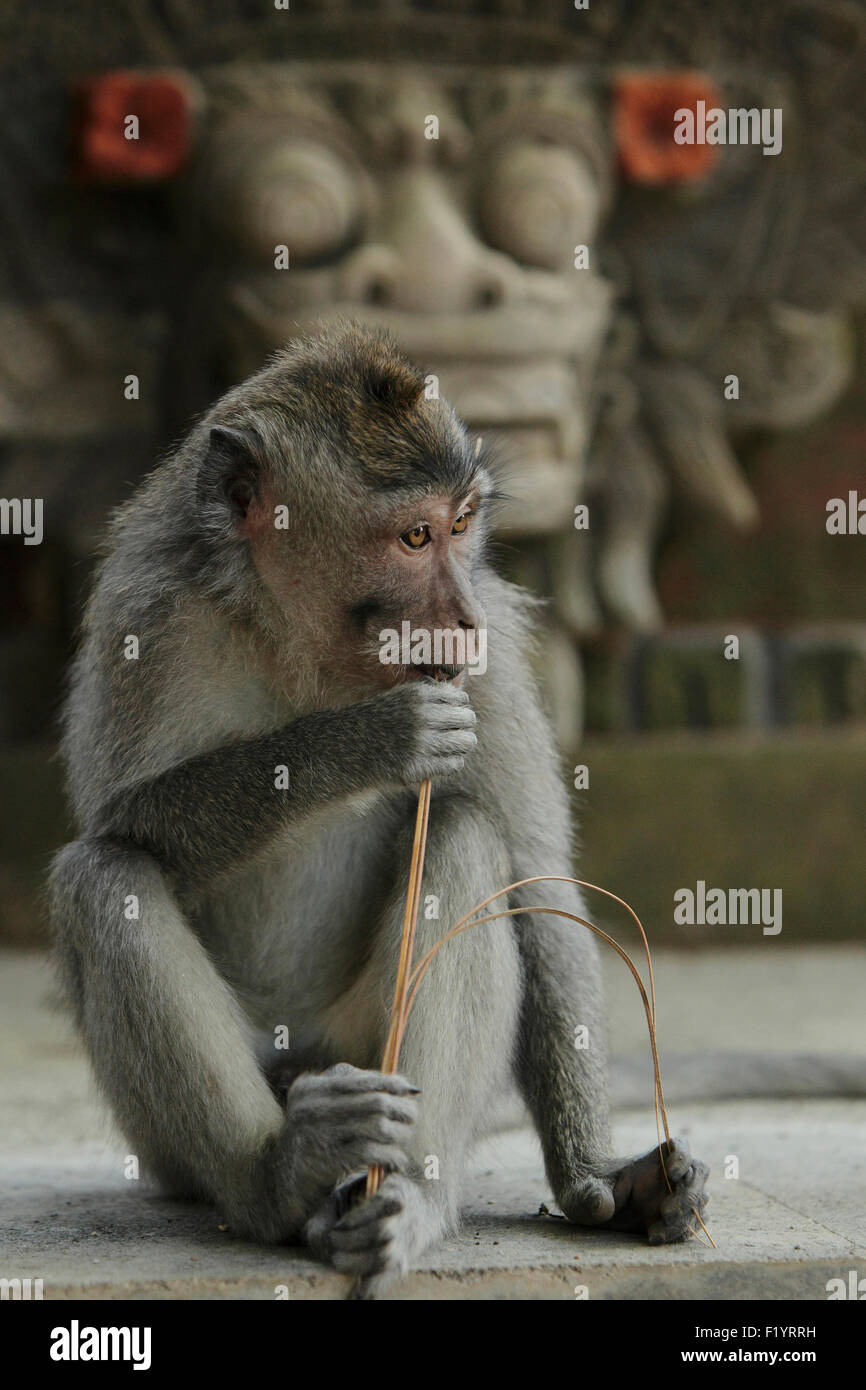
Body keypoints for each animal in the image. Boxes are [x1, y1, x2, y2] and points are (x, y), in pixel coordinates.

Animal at [47, 322, 708, 1289]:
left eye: (463, 526)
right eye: (412, 536)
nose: (460, 619)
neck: (302, 643)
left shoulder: (488, 660)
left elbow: (540, 881)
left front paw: (600, 1178)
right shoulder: (147, 614)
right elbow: (119, 820)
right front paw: (366, 741)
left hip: (361, 1037)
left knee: (470, 840)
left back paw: (408, 1197)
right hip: (181, 1130)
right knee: (104, 876)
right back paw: (278, 1175)